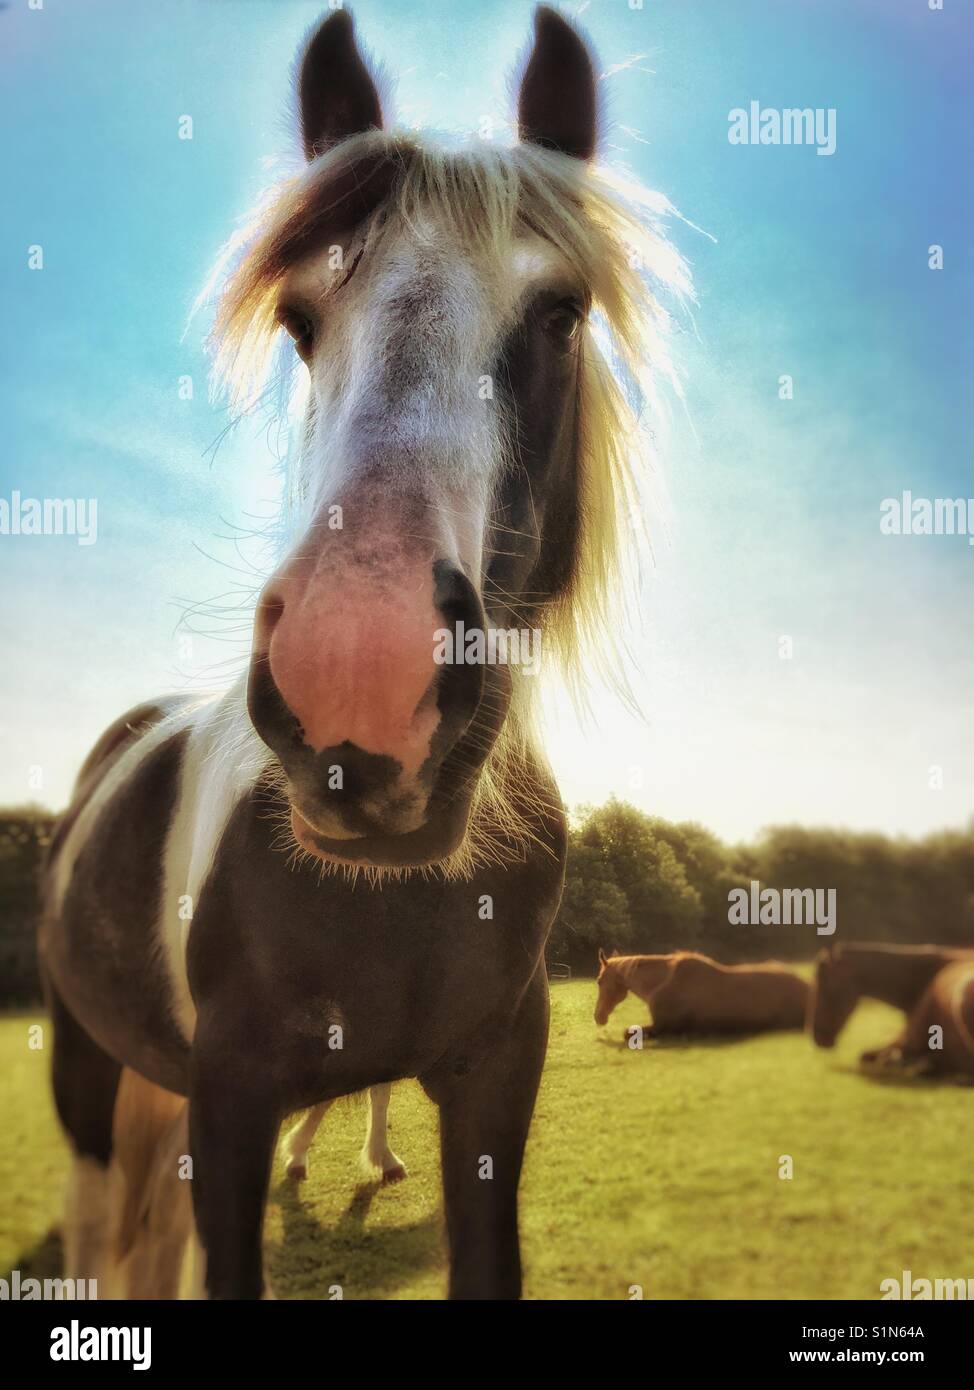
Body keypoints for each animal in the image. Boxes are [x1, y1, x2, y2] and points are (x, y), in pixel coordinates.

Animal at [38, 7, 691, 1300]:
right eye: (300, 322)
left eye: (560, 312)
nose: (357, 685)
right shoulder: (230, 1104)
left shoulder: (496, 1084)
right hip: (86, 1066)